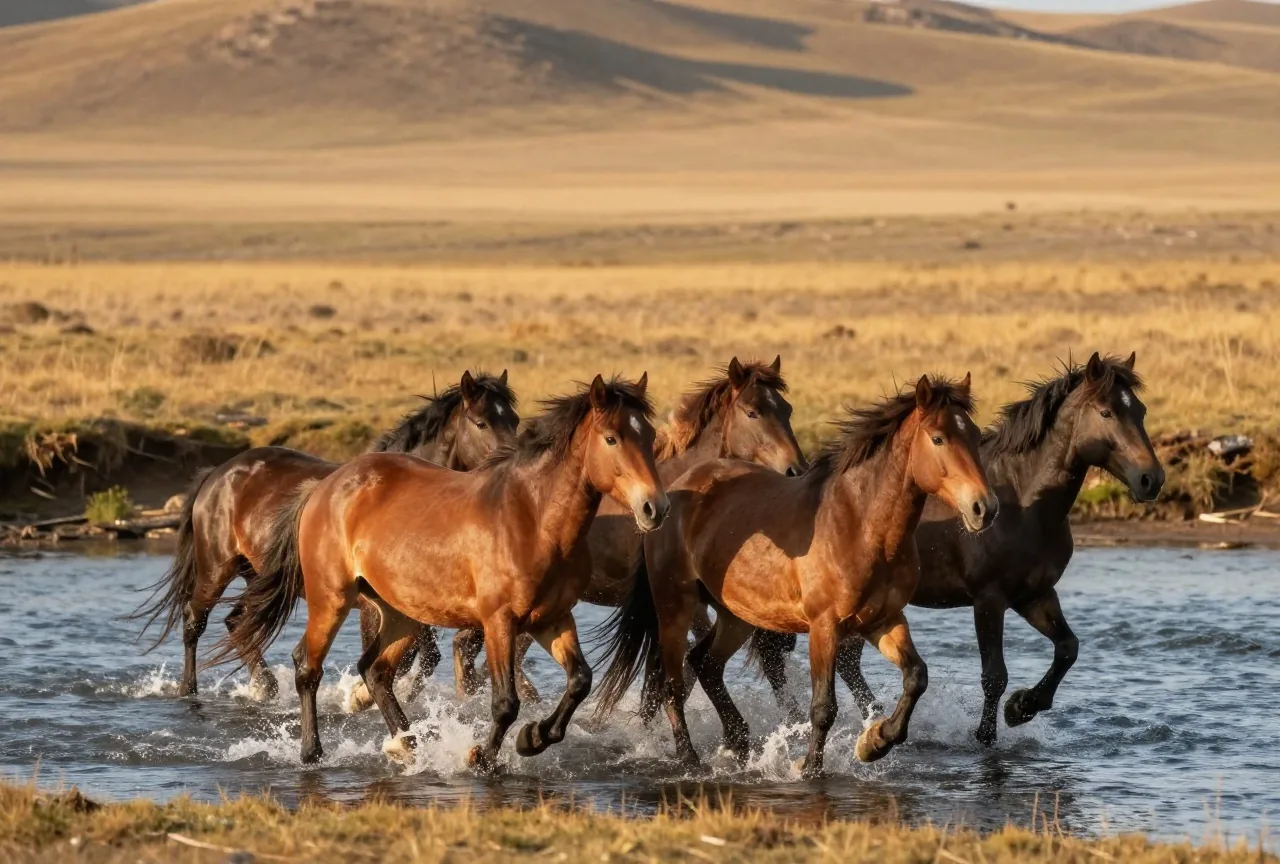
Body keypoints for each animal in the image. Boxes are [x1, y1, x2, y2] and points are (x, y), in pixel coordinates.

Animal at [131, 370, 518, 699]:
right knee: (194, 621)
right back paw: (189, 690)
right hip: (216, 568)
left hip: (260, 577)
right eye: (481, 422)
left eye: (513, 419)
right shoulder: (374, 605)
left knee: (237, 621)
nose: (512, 460)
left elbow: (422, 658)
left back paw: (266, 688)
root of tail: (218, 474)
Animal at [218, 375, 668, 772]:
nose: (654, 508)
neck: (533, 518)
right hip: (332, 597)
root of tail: (326, 486)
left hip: (398, 612)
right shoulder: (499, 621)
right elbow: (505, 702)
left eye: (649, 437)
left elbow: (580, 681)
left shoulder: (553, 618)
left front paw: (534, 737)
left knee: (376, 670)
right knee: (307, 667)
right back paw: (312, 754)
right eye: (611, 438)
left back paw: (406, 745)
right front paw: (481, 757)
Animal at [597, 374, 997, 776]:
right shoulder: (825, 626)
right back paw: (690, 760)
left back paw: (739, 744)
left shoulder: (883, 620)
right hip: (675, 604)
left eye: (975, 435)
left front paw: (875, 742)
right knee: (673, 683)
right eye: (939, 438)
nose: (984, 508)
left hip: (737, 615)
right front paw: (809, 769)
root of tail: (671, 493)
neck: (862, 524)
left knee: (705, 664)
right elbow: (823, 707)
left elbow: (916, 676)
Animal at [834, 352, 1164, 745]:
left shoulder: (1035, 595)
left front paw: (1022, 707)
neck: (1025, 504)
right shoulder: (989, 599)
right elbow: (994, 676)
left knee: (848, 665)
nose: (1151, 480)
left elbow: (1068, 648)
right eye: (1106, 412)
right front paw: (987, 736)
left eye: (1141, 410)